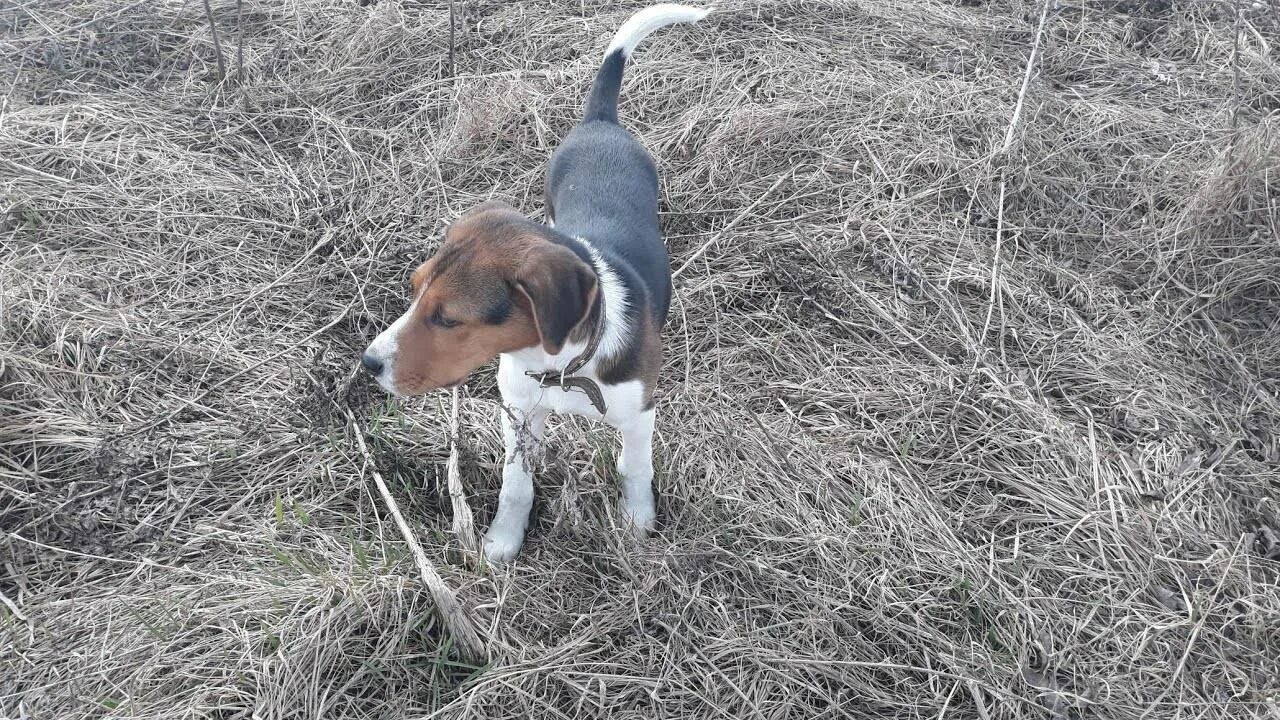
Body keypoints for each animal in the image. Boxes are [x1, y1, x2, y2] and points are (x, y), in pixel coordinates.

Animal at [358, 4, 711, 561]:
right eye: (414, 289)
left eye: (449, 318)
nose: (368, 363)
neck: (560, 366)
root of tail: (599, 122)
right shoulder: (518, 412)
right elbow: (516, 484)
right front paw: (503, 539)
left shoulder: (640, 414)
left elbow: (635, 467)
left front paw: (638, 521)